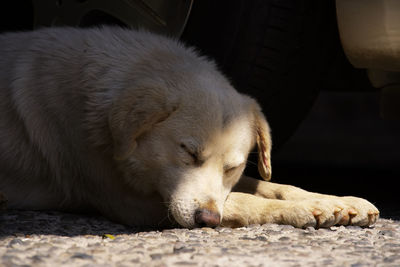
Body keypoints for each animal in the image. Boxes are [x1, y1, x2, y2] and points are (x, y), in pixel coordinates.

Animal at [0, 26, 380, 228]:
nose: (207, 220)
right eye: (188, 152)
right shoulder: (131, 203)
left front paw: (333, 201)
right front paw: (300, 210)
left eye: (232, 167)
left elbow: (270, 186)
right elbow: (244, 201)